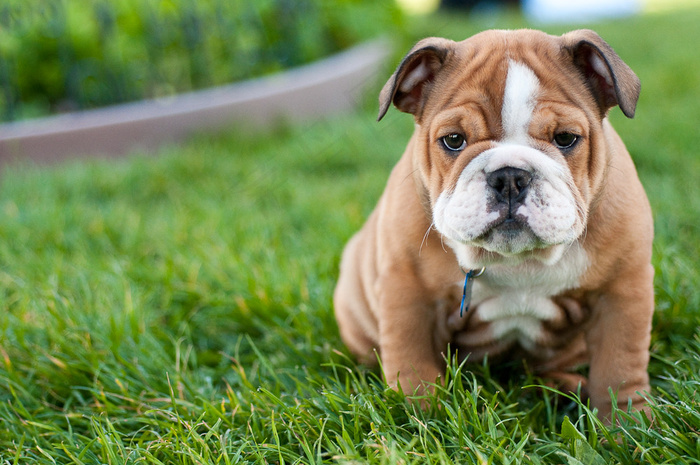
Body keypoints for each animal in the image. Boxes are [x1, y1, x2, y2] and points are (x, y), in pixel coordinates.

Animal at [330, 30, 652, 418]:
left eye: (565, 138)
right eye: (453, 140)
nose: (509, 177)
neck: (520, 262)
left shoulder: (622, 291)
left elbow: (619, 366)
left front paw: (627, 422)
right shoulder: (409, 291)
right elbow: (412, 361)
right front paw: (418, 413)